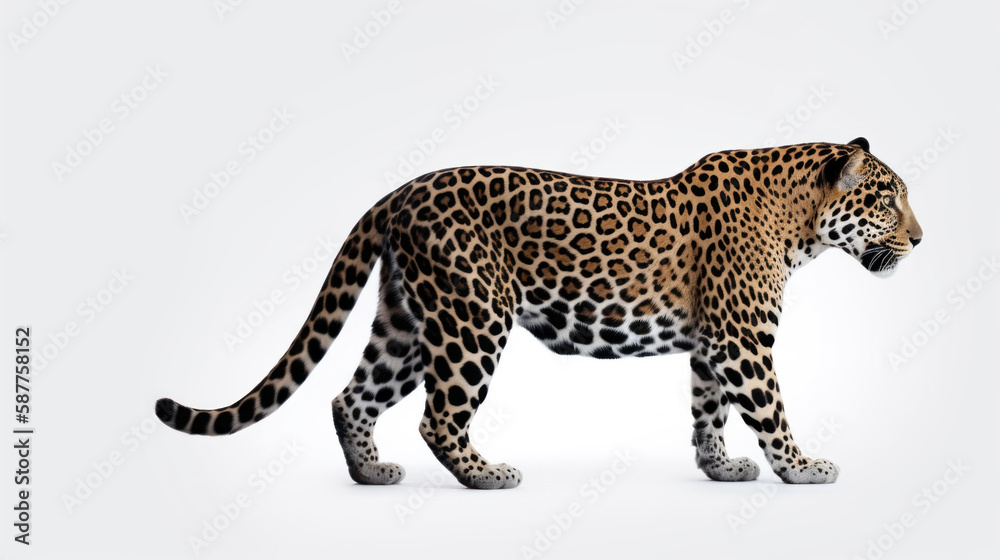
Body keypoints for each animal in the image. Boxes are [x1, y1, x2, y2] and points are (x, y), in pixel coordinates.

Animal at [156, 137, 922, 488]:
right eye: (887, 199)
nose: (920, 239)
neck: (803, 223)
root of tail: (402, 191)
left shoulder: (713, 341)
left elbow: (708, 410)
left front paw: (720, 467)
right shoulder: (742, 340)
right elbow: (769, 407)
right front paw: (803, 467)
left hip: (407, 321)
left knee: (352, 396)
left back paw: (373, 474)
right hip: (471, 316)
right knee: (438, 416)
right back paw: (487, 476)